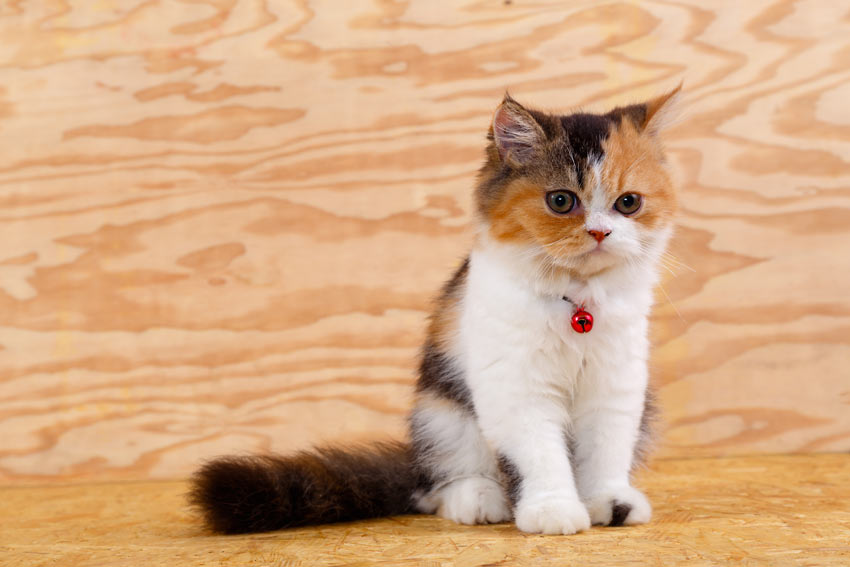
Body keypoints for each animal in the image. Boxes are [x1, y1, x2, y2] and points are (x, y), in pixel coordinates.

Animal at [189, 87, 680, 536]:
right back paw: (478, 499)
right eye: (561, 201)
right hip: (441, 414)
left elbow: (606, 450)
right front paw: (553, 509)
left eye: (628, 202)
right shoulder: (515, 386)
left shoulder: (617, 383)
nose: (599, 232)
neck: (577, 304)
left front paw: (608, 501)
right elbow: (539, 453)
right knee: (438, 485)